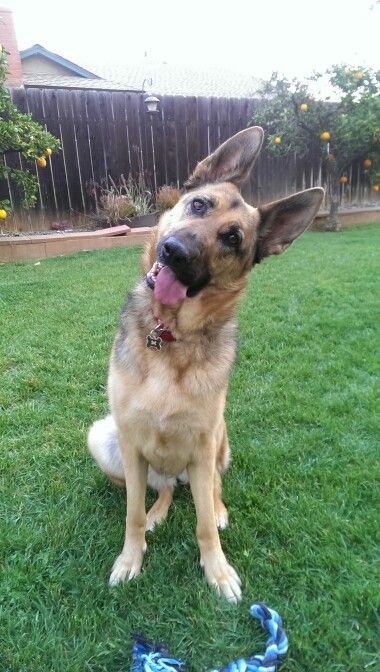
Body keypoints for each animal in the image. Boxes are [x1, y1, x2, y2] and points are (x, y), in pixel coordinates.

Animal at [89, 129, 324, 600]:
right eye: (199, 205)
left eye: (232, 239)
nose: (174, 251)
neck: (170, 336)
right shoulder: (129, 442)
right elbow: (132, 514)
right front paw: (130, 559)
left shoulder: (202, 441)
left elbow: (202, 527)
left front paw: (217, 570)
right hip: (104, 438)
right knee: (159, 491)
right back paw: (159, 511)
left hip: (218, 438)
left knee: (212, 484)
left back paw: (215, 507)